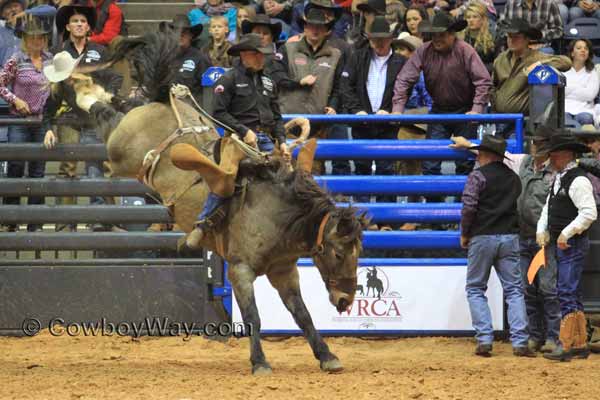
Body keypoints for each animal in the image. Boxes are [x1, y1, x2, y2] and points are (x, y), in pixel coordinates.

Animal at [70, 31, 370, 376]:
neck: (278, 216)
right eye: (338, 253)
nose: (346, 301)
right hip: (119, 151)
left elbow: (303, 314)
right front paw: (260, 363)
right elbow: (253, 317)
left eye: (359, 252)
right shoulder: (240, 270)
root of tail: (162, 101)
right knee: (106, 113)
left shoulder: (284, 271)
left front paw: (327, 355)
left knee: (119, 106)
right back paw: (83, 88)